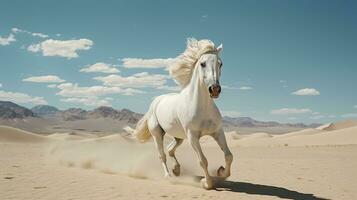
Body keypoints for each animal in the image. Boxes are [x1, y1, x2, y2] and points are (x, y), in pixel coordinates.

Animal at [132, 38, 232, 189]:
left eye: (220, 63)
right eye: (203, 63)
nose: (214, 89)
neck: (202, 107)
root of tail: (156, 101)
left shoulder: (217, 132)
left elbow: (228, 156)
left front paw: (221, 172)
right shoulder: (193, 137)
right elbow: (203, 160)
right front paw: (206, 183)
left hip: (179, 137)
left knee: (170, 149)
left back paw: (177, 169)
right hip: (157, 134)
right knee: (162, 155)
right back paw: (168, 176)